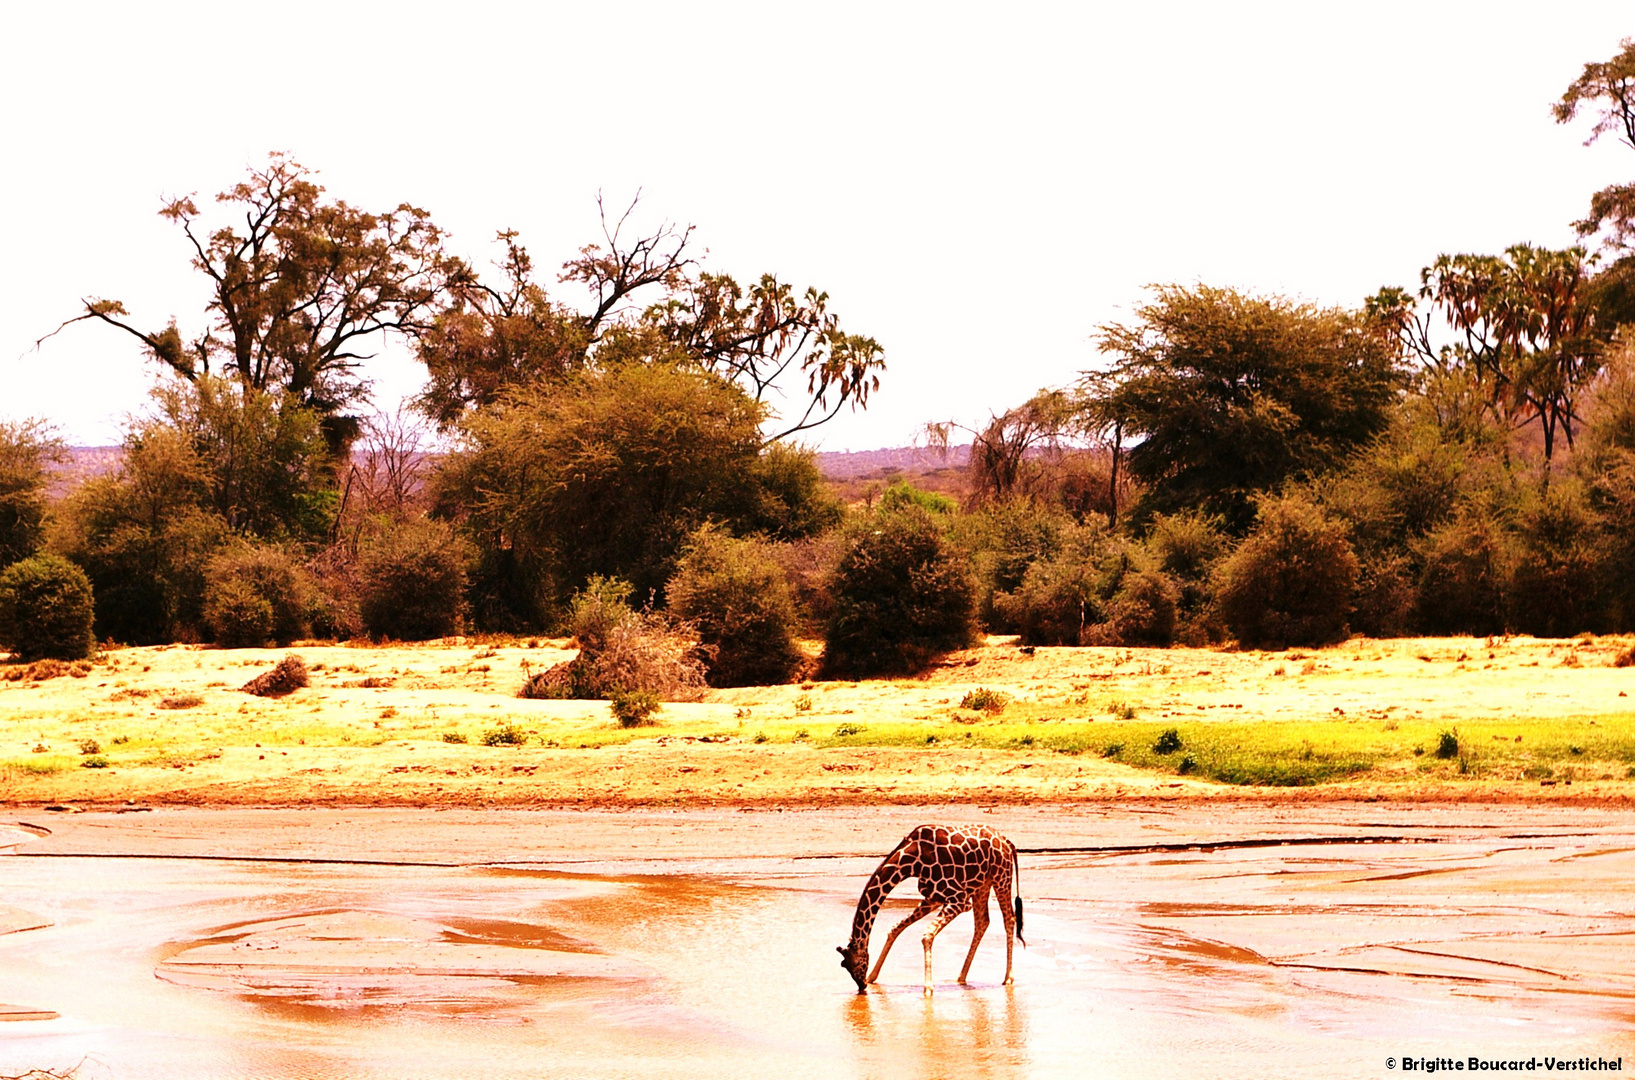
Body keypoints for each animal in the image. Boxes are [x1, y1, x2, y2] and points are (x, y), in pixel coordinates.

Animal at [843, 826, 1020, 993]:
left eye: (856, 963)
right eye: (844, 964)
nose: (861, 985)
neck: (911, 861)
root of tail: (1007, 842)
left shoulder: (960, 900)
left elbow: (927, 935)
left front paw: (928, 988)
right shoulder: (934, 897)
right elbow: (895, 929)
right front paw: (872, 977)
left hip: (1001, 877)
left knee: (1009, 919)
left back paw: (1008, 978)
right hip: (982, 884)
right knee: (982, 921)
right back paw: (961, 977)